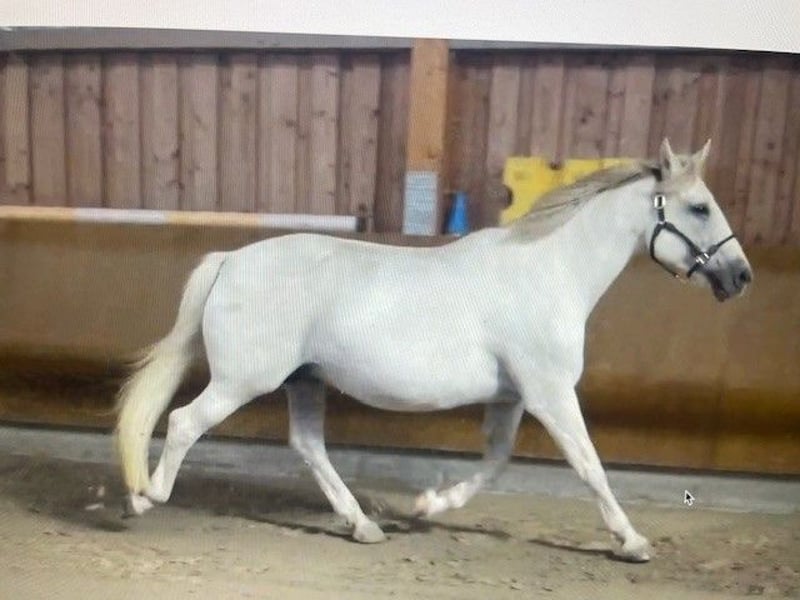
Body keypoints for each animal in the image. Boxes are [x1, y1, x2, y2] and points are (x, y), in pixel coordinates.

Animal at [115, 138, 752, 562]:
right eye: (699, 207)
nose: (741, 276)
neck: (549, 272)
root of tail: (230, 260)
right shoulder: (550, 393)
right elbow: (589, 465)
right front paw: (633, 541)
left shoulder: (514, 398)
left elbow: (496, 463)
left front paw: (427, 506)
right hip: (244, 381)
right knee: (184, 421)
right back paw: (144, 498)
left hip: (306, 380)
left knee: (308, 446)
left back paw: (363, 526)